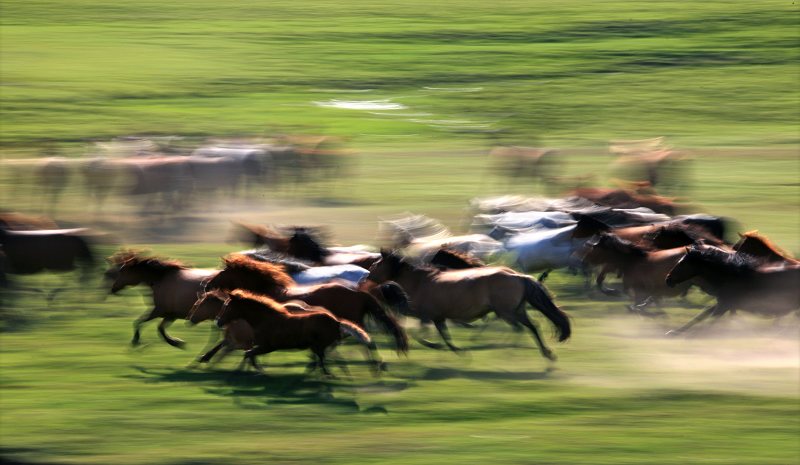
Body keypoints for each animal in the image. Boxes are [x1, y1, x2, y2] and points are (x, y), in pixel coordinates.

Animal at [209, 288, 378, 376]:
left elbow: (248, 354)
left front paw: (252, 371)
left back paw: (326, 375)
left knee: (321, 360)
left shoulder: (268, 347)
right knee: (320, 359)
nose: (218, 322)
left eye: (227, 306)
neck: (265, 319)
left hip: (320, 345)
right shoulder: (260, 346)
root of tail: (337, 322)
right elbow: (248, 354)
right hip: (317, 345)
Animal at [368, 250, 568, 358]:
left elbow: (423, 334)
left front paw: (437, 345)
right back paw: (546, 353)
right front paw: (455, 349)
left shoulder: (427, 314)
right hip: (516, 311)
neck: (420, 281)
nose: (368, 274)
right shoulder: (436, 317)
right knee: (533, 327)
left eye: (377, 264)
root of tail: (519, 276)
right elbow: (444, 335)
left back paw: (508, 352)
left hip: (507, 312)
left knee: (520, 329)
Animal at [664, 243, 800, 334]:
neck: (730, 276)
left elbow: (710, 319)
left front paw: (692, 335)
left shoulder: (725, 305)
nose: (668, 279)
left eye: (681, 263)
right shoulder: (724, 303)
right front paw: (675, 332)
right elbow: (702, 314)